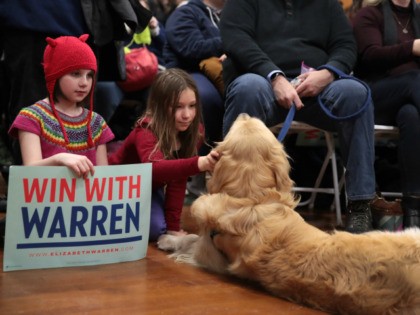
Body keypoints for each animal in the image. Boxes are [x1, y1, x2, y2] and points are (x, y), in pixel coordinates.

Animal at [158, 115, 420, 315]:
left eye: (242, 124)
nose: (244, 113)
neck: (252, 198)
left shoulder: (210, 256)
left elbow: (193, 239)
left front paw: (168, 239)